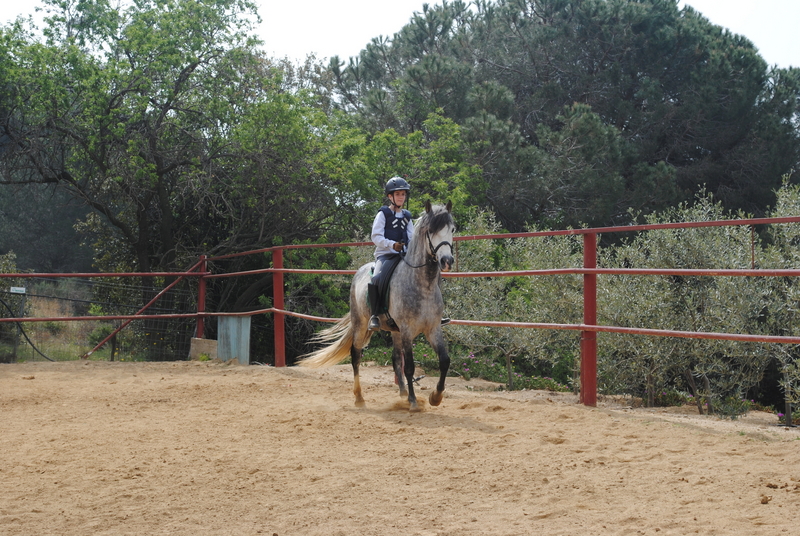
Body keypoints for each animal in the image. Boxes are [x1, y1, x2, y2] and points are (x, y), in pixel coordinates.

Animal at [298, 200, 455, 412]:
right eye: (431, 230)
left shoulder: (433, 329)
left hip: (395, 331)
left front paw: (435, 397)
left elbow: (444, 361)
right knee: (356, 355)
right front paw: (414, 402)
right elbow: (410, 367)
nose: (447, 261)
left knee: (396, 359)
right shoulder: (407, 331)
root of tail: (359, 271)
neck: (422, 285)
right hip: (361, 324)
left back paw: (403, 393)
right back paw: (360, 398)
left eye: (452, 229)